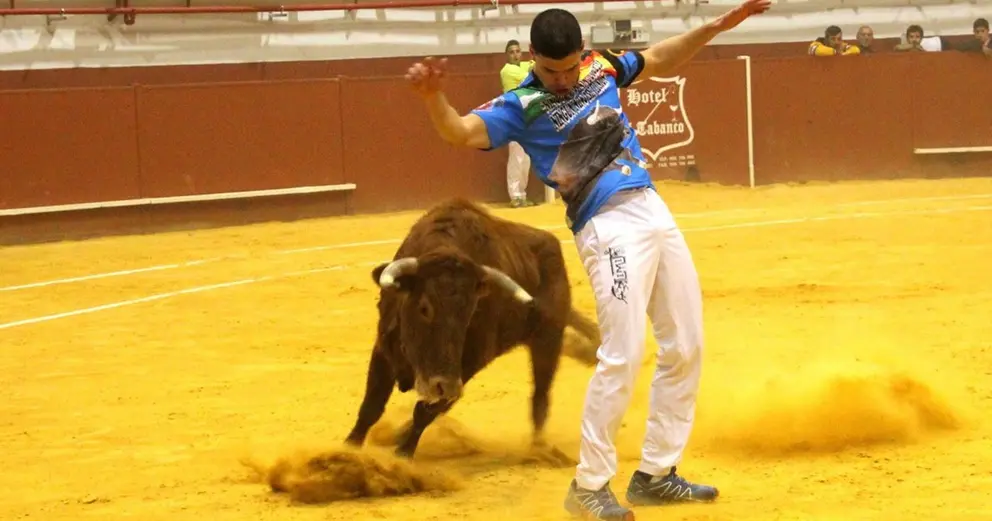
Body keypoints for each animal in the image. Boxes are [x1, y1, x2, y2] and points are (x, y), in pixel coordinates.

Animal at [343, 198, 601, 460]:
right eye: (424, 308)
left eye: (470, 311)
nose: (446, 385)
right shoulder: (384, 348)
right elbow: (372, 406)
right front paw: (348, 449)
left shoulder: (470, 363)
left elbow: (424, 412)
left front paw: (402, 455)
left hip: (547, 338)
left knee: (540, 394)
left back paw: (540, 449)